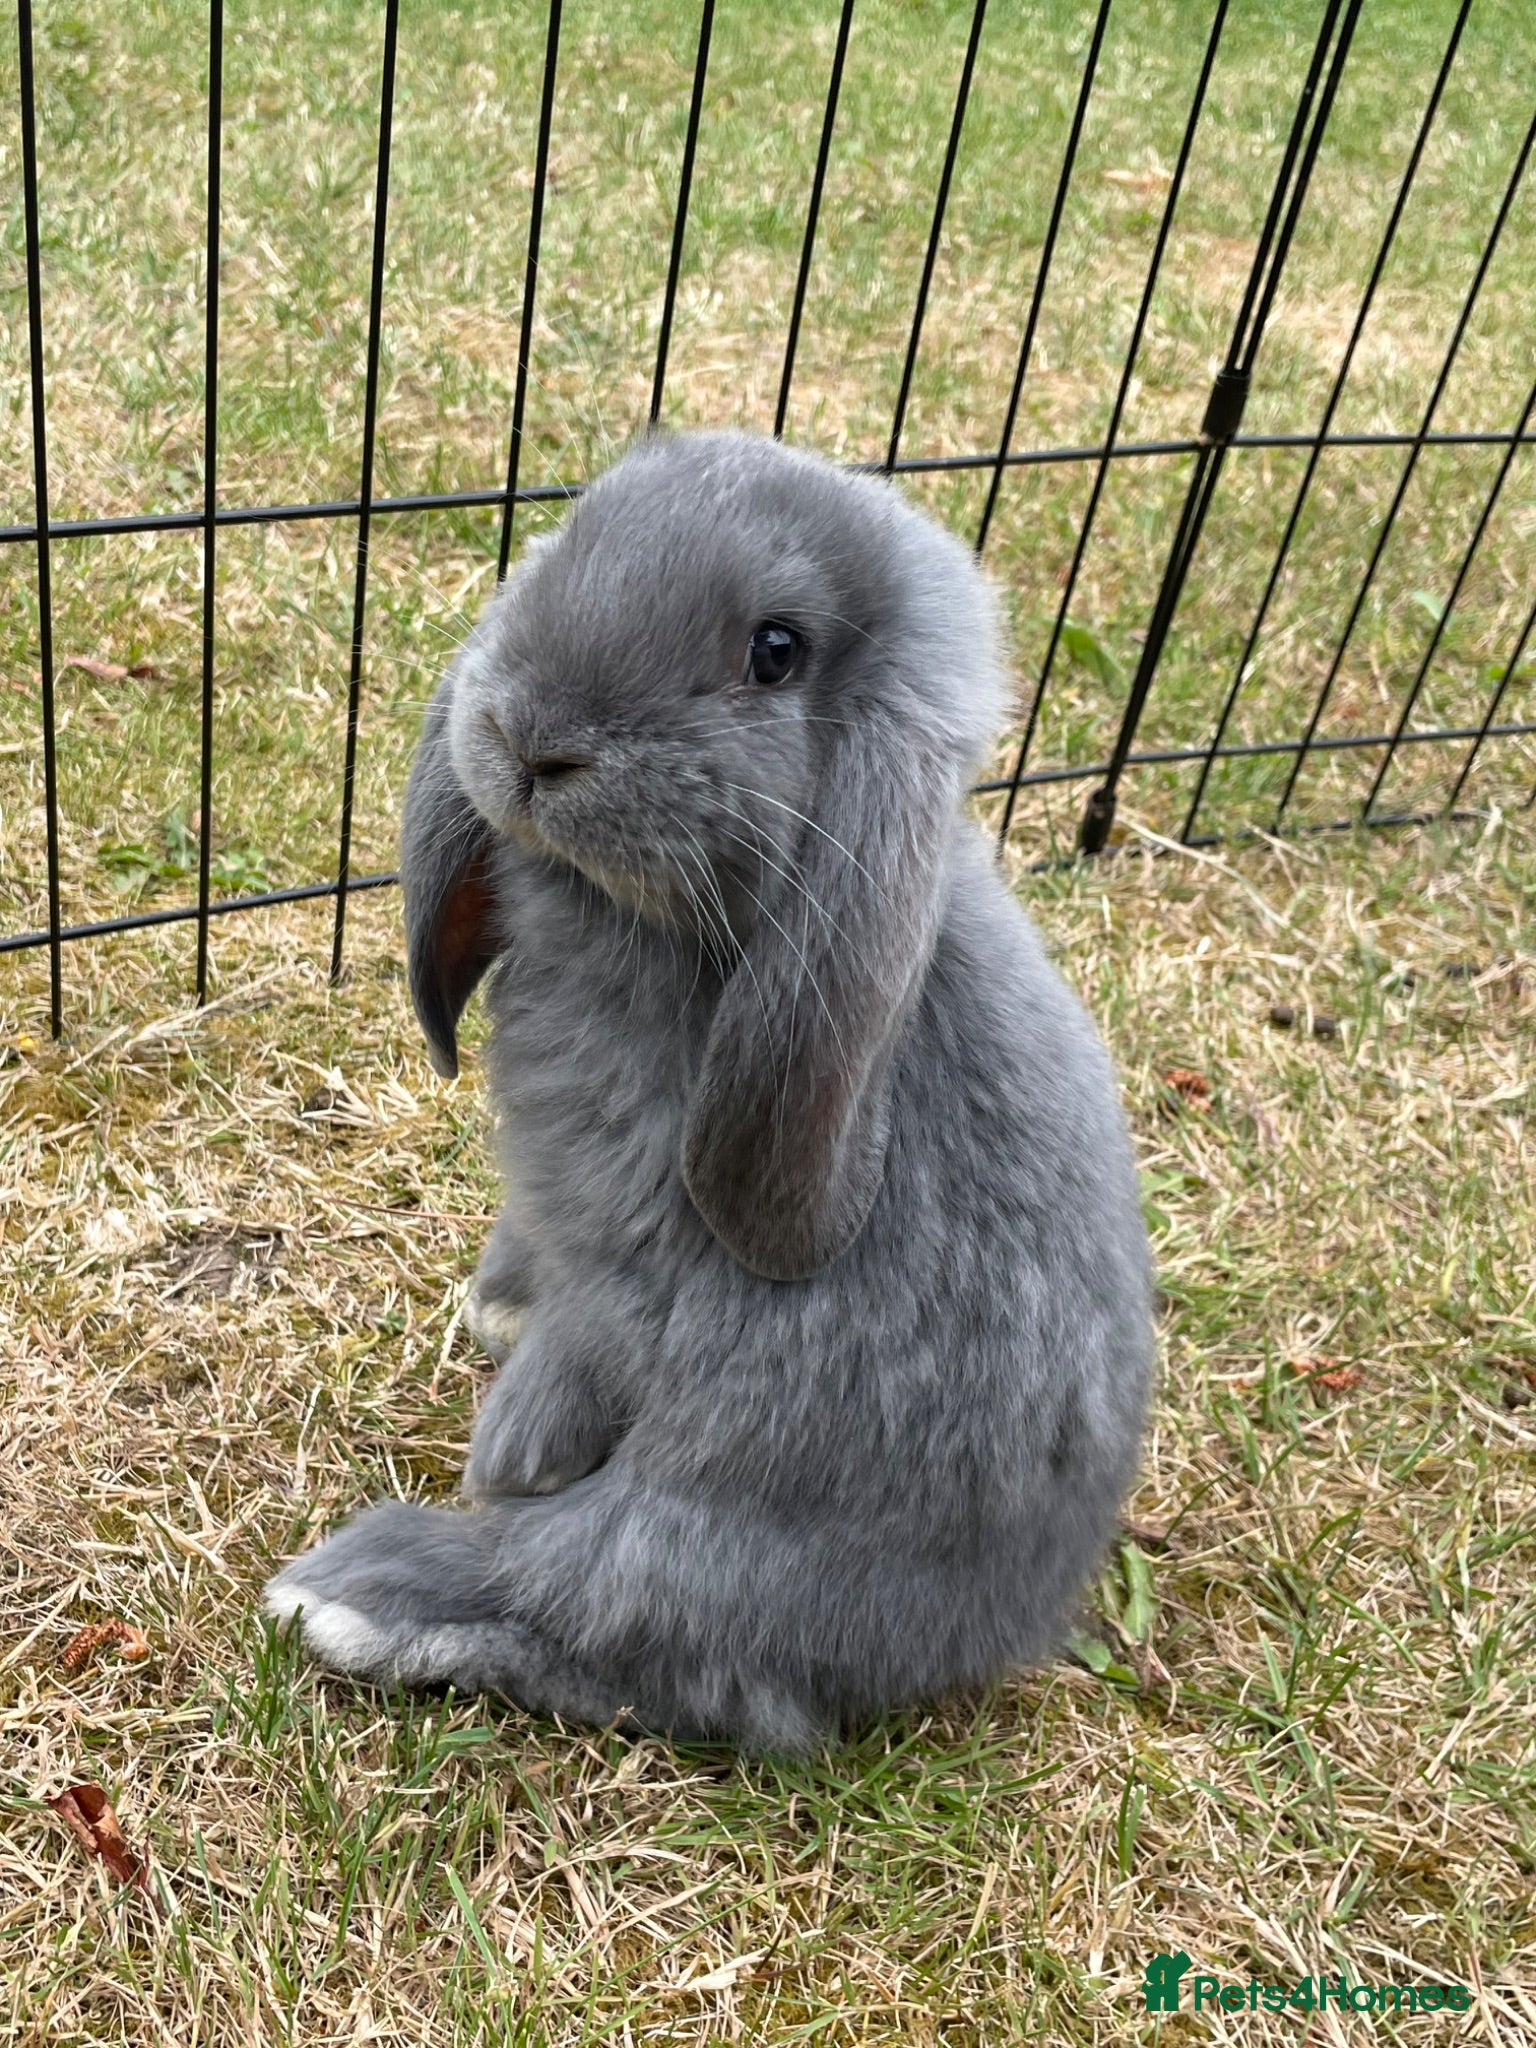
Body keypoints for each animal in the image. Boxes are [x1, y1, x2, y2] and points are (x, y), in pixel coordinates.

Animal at [263, 430, 1154, 1751]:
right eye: (572, 535)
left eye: (773, 651)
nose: (533, 736)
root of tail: (999, 1614)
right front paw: (496, 1305)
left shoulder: (635, 1264)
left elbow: (584, 1354)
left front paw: (506, 1447)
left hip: (699, 1528)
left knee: (603, 1617)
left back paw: (356, 1593)